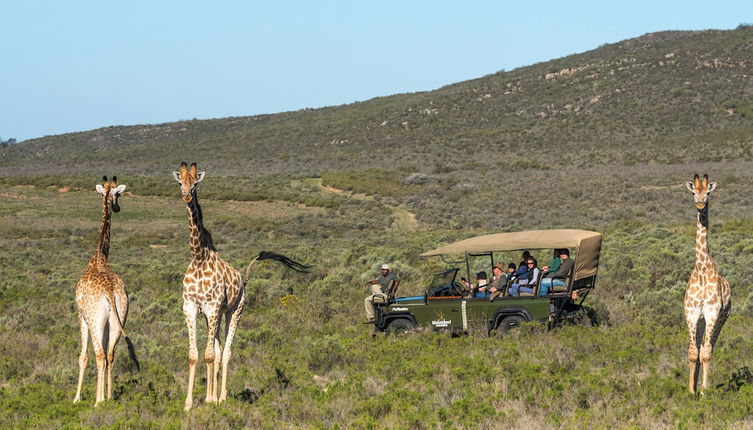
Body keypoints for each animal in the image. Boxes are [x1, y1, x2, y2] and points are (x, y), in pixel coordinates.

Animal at [73, 176, 132, 404]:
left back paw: (98, 401)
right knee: (110, 355)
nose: (117, 207)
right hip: (118, 318)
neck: (99, 255)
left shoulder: (81, 316)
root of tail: (109, 292)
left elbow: (83, 357)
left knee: (99, 354)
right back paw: (108, 397)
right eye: (117, 194)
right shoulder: (108, 322)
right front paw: (106, 394)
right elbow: (107, 356)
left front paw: (77, 398)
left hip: (95, 320)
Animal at [173, 161, 308, 410]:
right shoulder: (190, 307)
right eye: (180, 183)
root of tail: (243, 280)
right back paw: (215, 396)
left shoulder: (213, 308)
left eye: (195, 184)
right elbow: (195, 355)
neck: (198, 258)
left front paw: (209, 399)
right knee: (217, 352)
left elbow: (209, 355)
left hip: (234, 310)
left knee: (225, 352)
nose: (186, 196)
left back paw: (221, 398)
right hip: (215, 316)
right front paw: (188, 404)